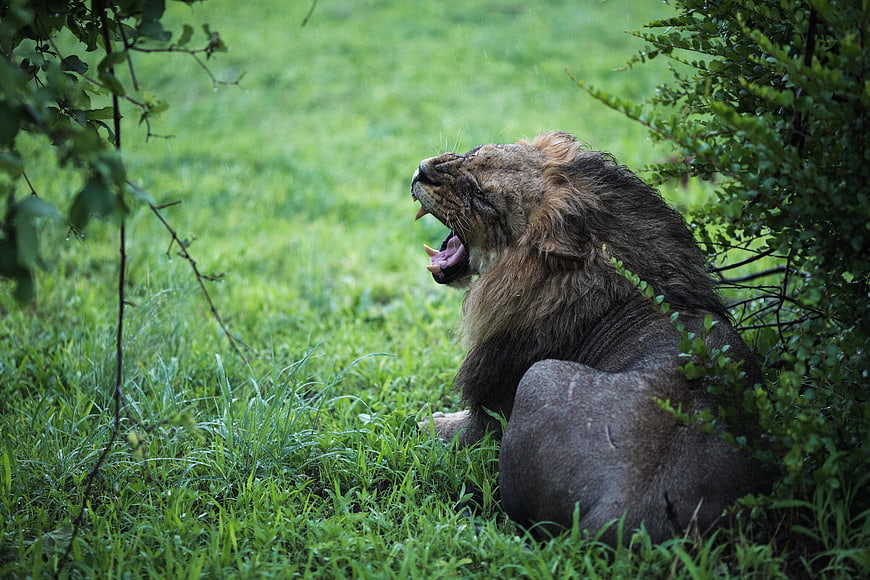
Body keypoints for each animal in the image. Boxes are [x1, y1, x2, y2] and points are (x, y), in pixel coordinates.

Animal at [410, 131, 770, 544]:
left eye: (483, 198)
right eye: (472, 153)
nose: (421, 171)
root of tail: (623, 513)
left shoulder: (491, 414)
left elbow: (451, 430)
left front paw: (427, 422)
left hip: (539, 377)